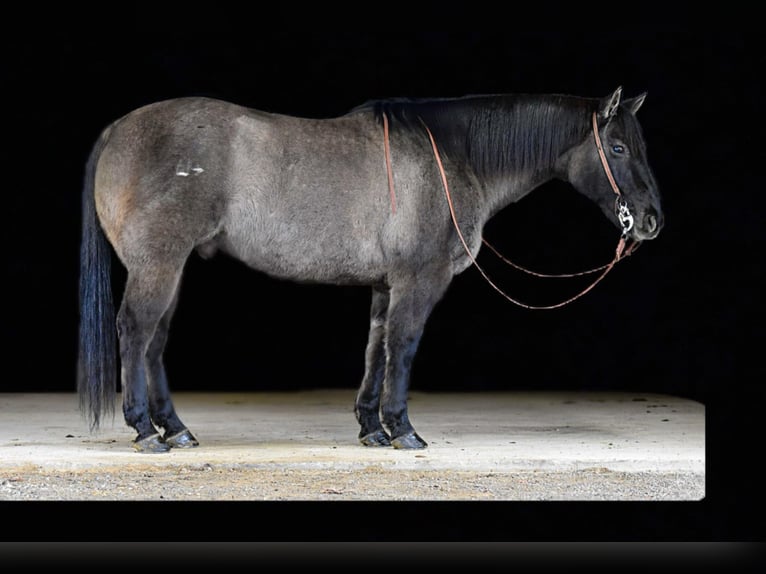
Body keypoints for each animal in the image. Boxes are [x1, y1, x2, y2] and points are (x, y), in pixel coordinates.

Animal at [79, 85, 664, 454]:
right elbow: (402, 347)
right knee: (136, 331)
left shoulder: (388, 285)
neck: (451, 157)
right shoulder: (419, 282)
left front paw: (371, 427)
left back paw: (174, 428)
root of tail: (116, 129)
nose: (651, 221)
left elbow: (376, 348)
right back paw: (146, 430)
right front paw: (402, 429)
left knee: (155, 341)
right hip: (159, 263)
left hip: (171, 267)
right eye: (616, 146)